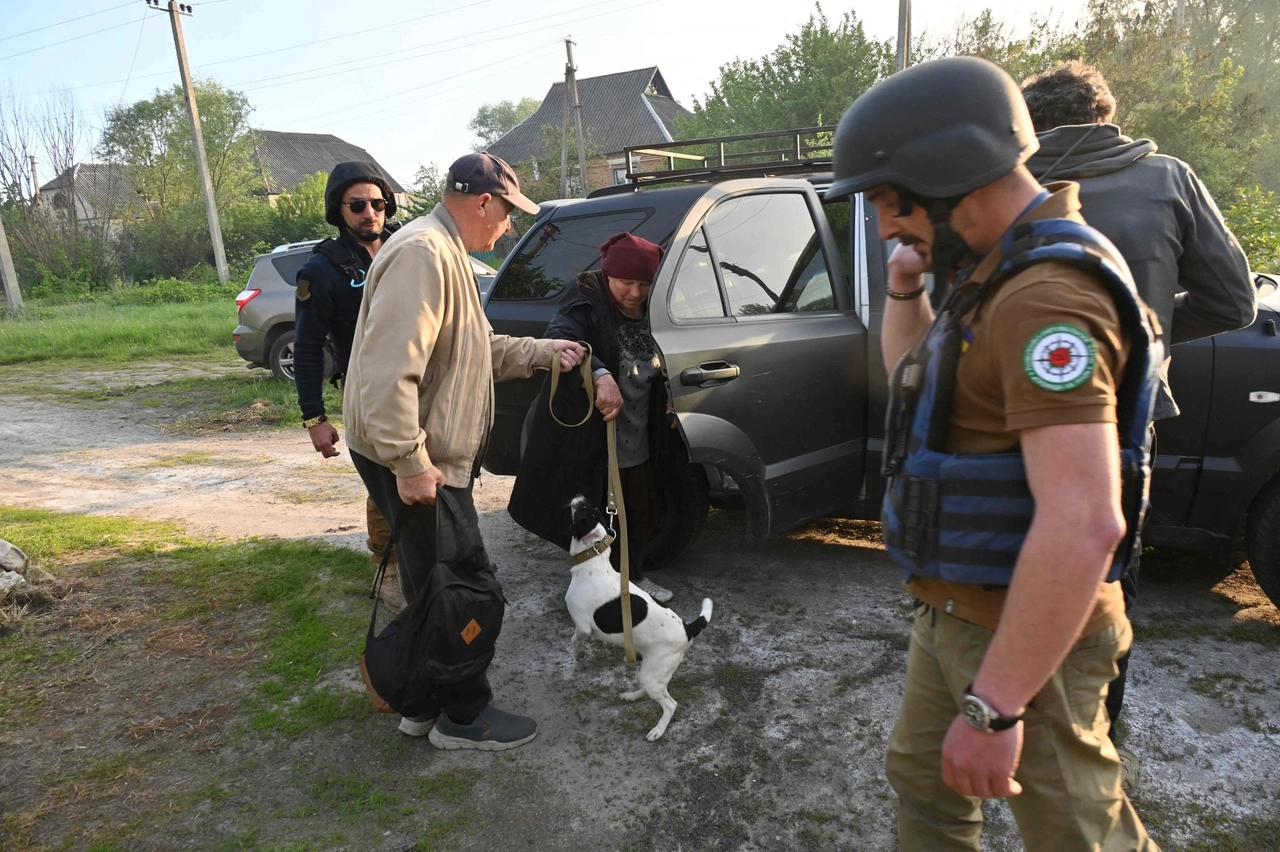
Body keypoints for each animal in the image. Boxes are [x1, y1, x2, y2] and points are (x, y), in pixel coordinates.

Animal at [568, 493, 716, 741]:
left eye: (582, 510)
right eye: (593, 509)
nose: (579, 496)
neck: (593, 562)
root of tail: (688, 628)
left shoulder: (583, 626)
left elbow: (576, 640)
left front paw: (579, 654)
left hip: (653, 673)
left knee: (670, 704)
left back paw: (658, 730)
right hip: (652, 671)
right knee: (650, 689)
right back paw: (632, 696)